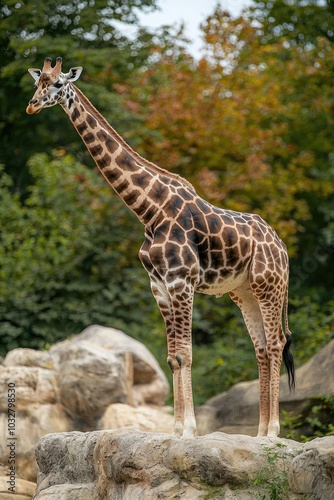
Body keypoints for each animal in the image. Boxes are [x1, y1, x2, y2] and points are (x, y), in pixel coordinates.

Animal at [26, 55, 294, 438]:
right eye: (37, 83)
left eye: (59, 84)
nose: (32, 105)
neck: (149, 210)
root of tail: (282, 247)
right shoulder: (159, 286)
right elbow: (172, 356)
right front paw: (176, 429)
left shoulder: (182, 281)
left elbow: (186, 353)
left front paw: (189, 430)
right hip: (243, 292)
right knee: (260, 348)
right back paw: (257, 434)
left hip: (268, 286)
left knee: (275, 345)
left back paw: (273, 432)